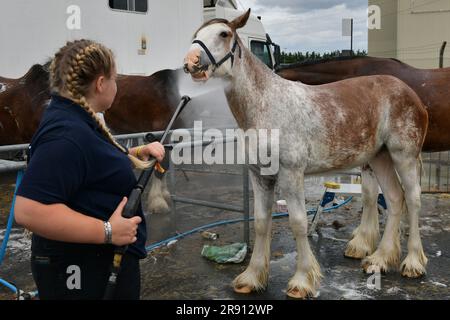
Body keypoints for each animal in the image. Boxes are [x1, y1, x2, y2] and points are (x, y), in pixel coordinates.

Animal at [185, 10, 428, 300]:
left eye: (224, 34)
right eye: (195, 35)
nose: (191, 62)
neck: (267, 105)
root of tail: (411, 93)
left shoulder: (291, 175)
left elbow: (298, 223)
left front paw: (302, 281)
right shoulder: (260, 176)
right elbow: (261, 223)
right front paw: (252, 277)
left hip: (404, 156)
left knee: (412, 199)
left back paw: (412, 263)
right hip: (379, 158)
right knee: (394, 198)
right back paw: (379, 260)